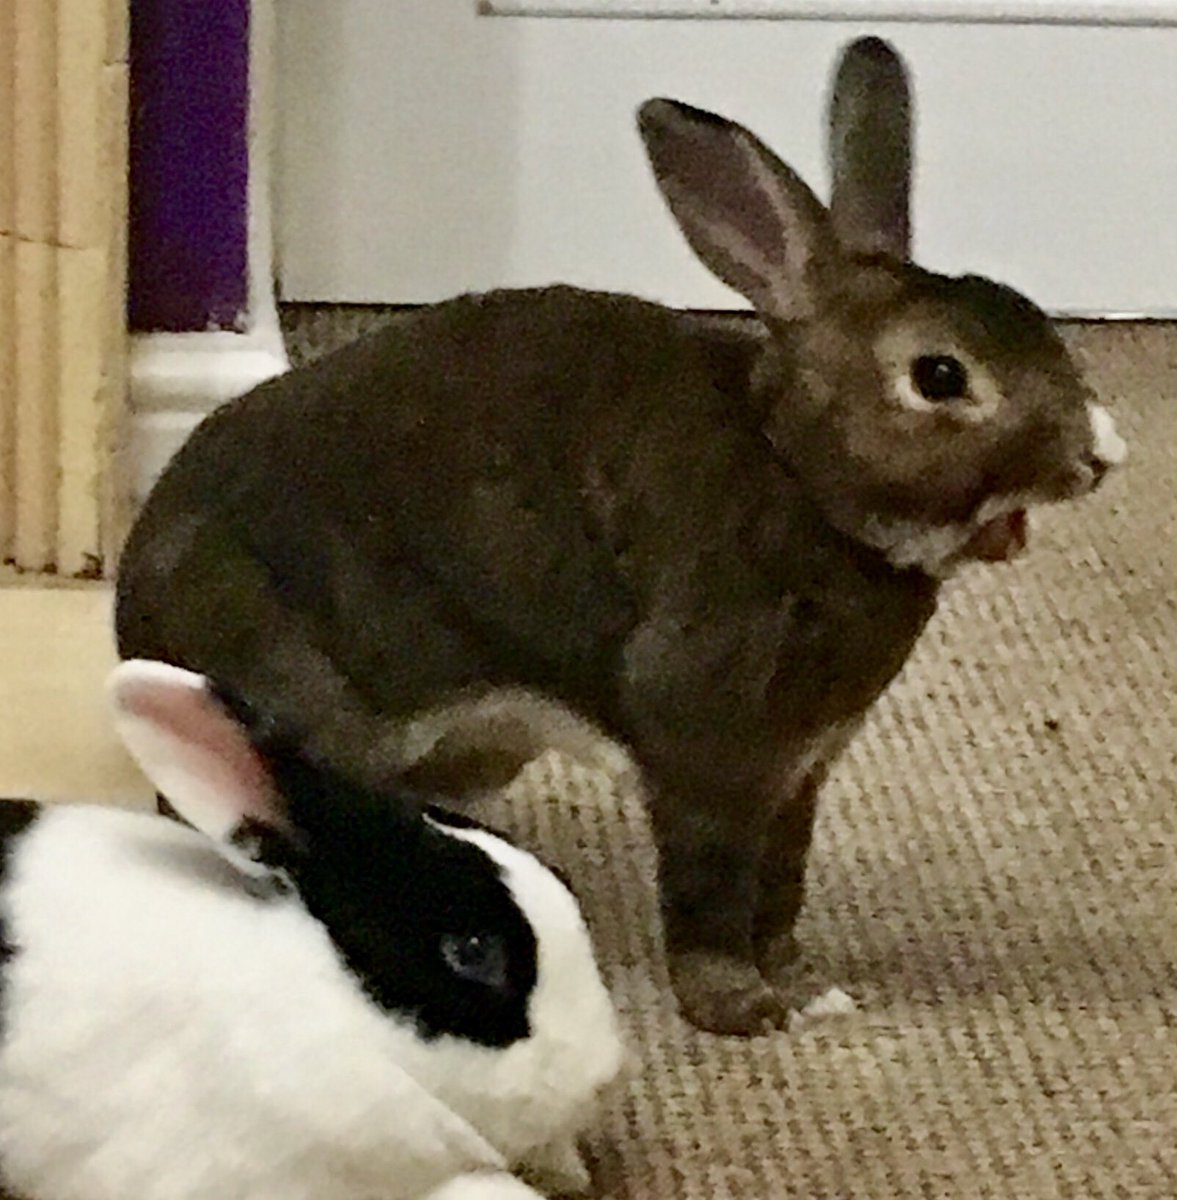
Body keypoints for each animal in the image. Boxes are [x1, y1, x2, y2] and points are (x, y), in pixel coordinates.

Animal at [114, 37, 1123, 1032]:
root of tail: (133, 620)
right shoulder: (708, 748)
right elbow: (712, 888)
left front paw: (805, 987)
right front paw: (741, 1007)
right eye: (939, 376)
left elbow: (781, 886)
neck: (797, 473)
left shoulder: (799, 773)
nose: (1095, 455)